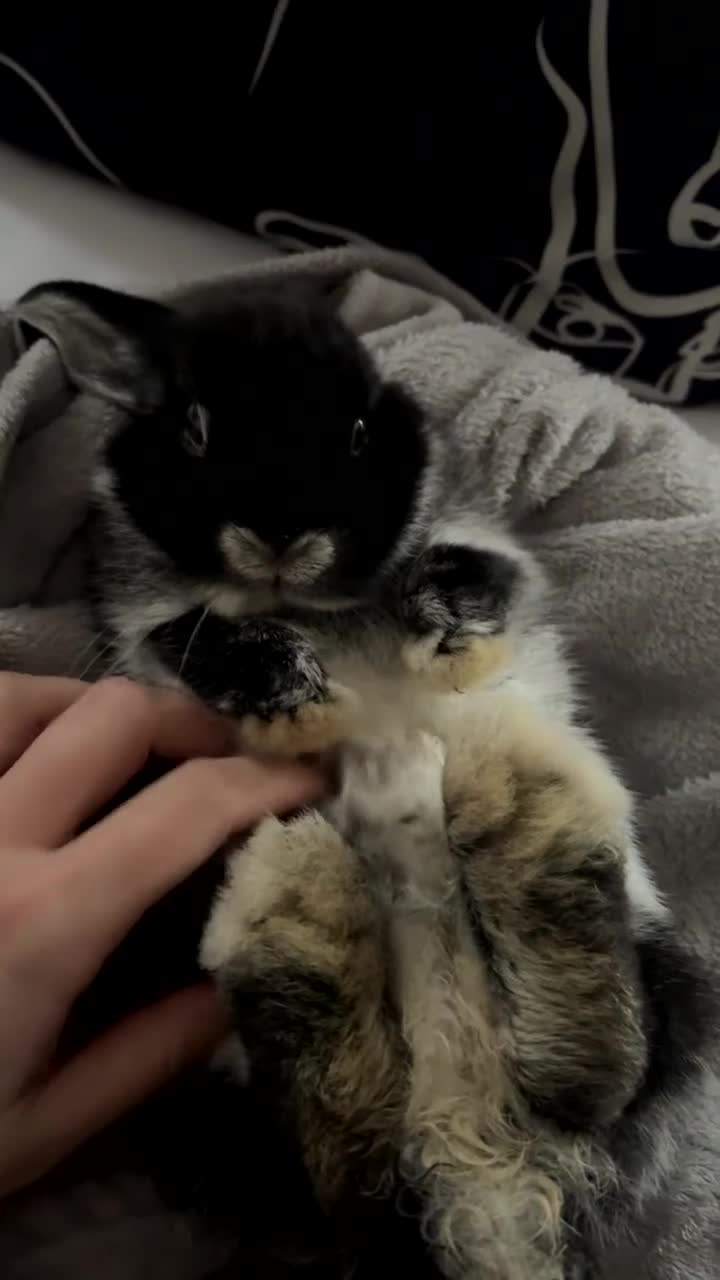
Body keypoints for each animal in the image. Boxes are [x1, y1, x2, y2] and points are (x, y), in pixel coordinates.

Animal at [14, 279, 712, 1279]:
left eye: (356, 428)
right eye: (194, 426)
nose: (279, 534)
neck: (310, 606)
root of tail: (481, 1176)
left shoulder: (484, 547)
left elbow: (466, 575)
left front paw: (446, 649)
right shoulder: (153, 628)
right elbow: (204, 639)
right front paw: (301, 704)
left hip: (671, 977)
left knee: (599, 1078)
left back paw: (512, 797)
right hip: (233, 1105)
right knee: (344, 1154)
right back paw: (302, 902)